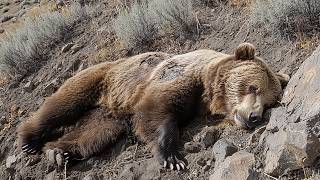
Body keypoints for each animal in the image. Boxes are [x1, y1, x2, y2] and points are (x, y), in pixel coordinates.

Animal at [16, 43, 288, 170]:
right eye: (252, 87)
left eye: (269, 102)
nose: (253, 117)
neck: (207, 90)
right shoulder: (177, 79)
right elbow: (156, 113)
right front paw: (172, 157)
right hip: (102, 79)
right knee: (63, 105)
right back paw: (29, 140)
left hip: (110, 114)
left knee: (95, 134)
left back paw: (58, 152)